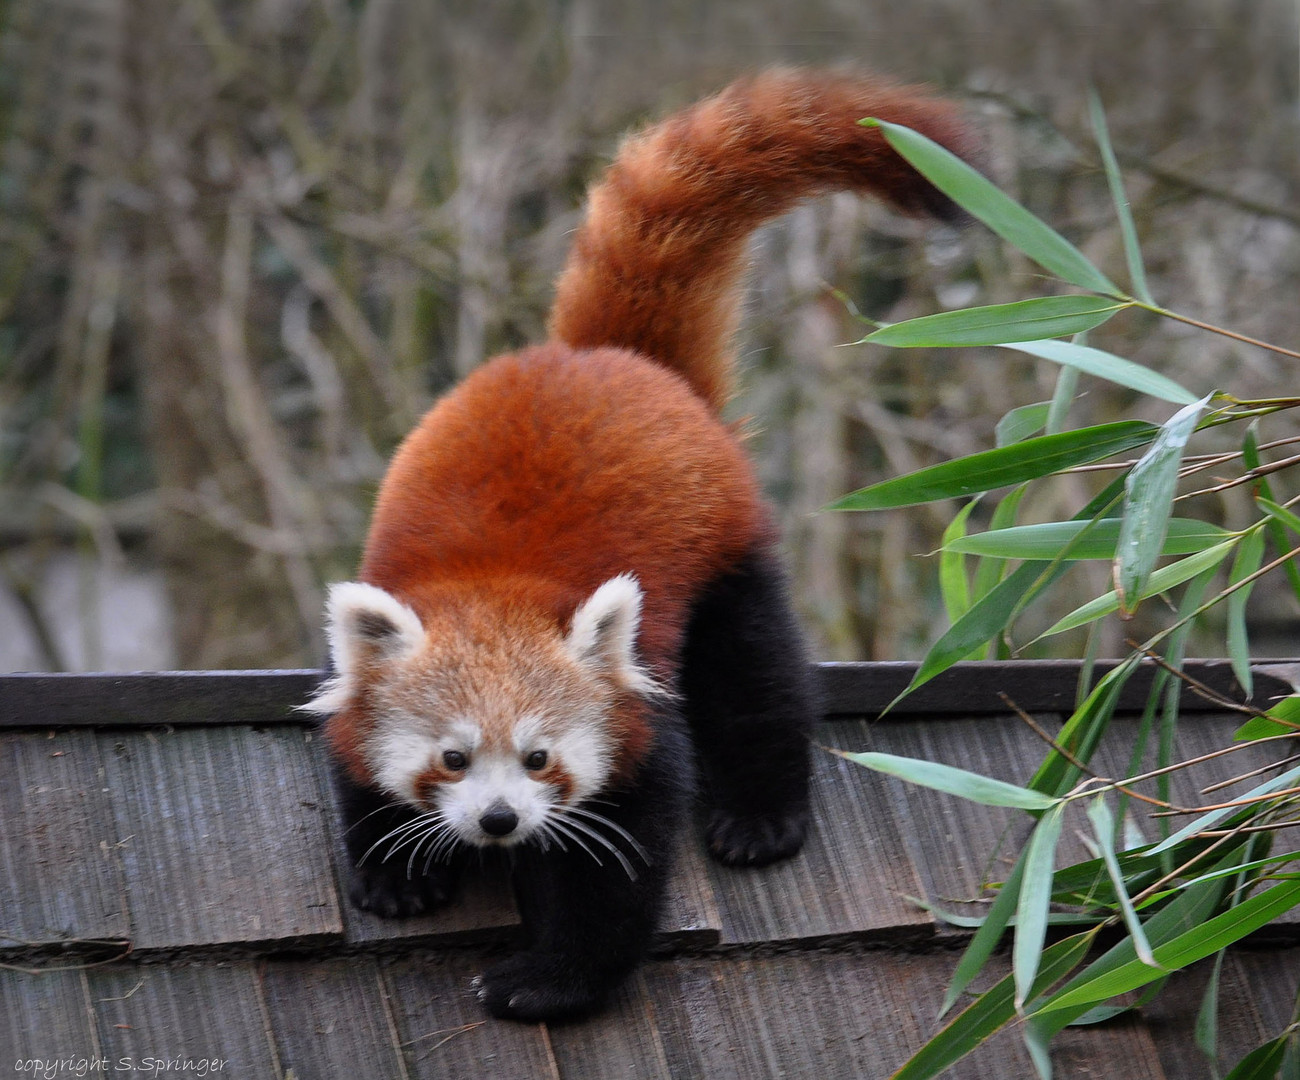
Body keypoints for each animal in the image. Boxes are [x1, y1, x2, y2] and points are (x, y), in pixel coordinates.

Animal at [304, 69, 972, 1024]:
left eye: (540, 757)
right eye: (453, 758)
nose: (501, 821)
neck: (489, 585)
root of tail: (612, 357)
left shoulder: (634, 725)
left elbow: (610, 866)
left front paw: (550, 980)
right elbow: (355, 767)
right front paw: (394, 870)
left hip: (727, 546)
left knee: (753, 672)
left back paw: (761, 816)